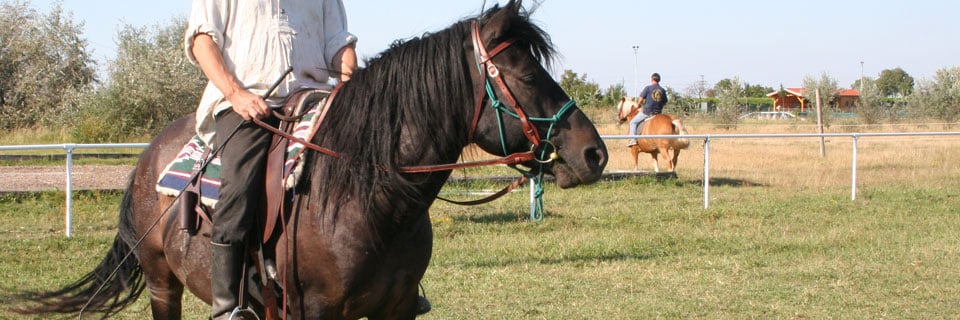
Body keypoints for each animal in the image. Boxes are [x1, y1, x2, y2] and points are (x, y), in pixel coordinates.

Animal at [15, 1, 608, 318]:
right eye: (526, 75)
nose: (594, 153)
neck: (370, 196)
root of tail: (147, 161)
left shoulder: (395, 308)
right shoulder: (316, 310)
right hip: (165, 283)